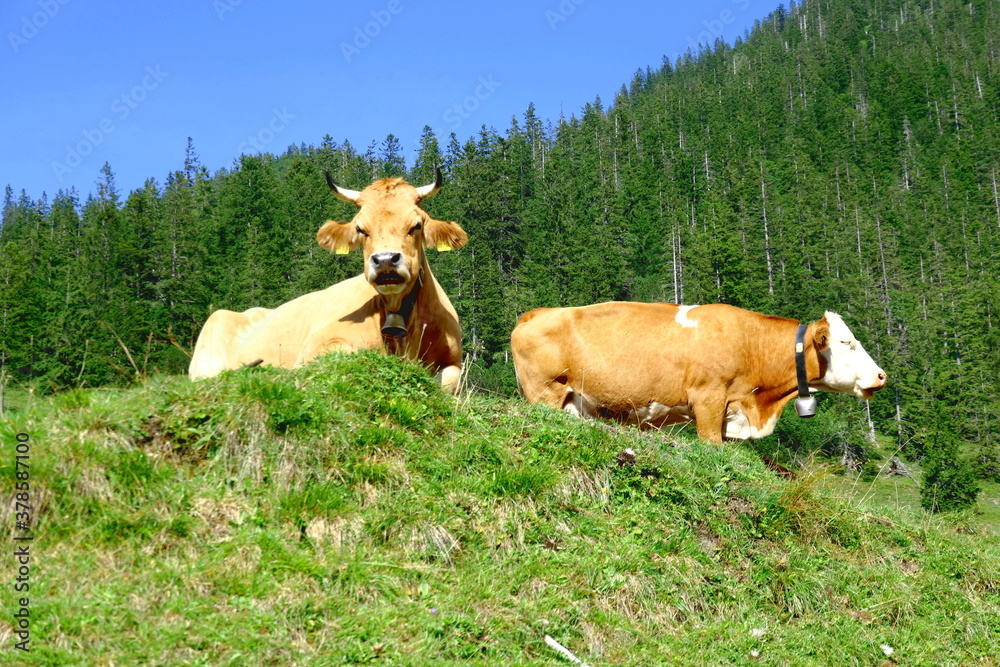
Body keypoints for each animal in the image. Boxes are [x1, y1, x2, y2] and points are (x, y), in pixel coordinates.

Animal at [188, 169, 468, 392]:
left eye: (416, 226)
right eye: (360, 229)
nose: (386, 260)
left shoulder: (455, 361)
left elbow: (448, 382)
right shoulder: (317, 343)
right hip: (210, 343)